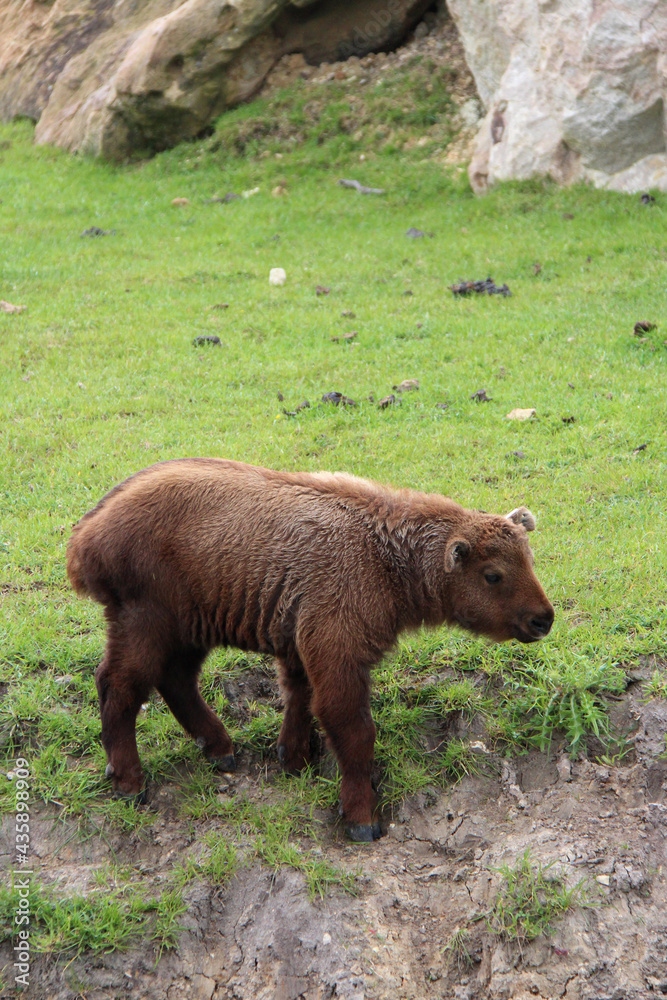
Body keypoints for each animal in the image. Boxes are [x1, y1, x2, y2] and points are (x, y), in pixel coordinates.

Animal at [66, 460, 552, 844]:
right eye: (493, 574)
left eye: (529, 559)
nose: (543, 619)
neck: (384, 554)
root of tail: (85, 533)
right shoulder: (338, 653)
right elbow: (353, 731)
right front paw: (361, 818)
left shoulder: (303, 644)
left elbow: (299, 696)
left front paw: (294, 758)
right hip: (147, 622)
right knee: (120, 688)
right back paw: (130, 782)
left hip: (188, 629)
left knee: (175, 681)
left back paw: (220, 748)